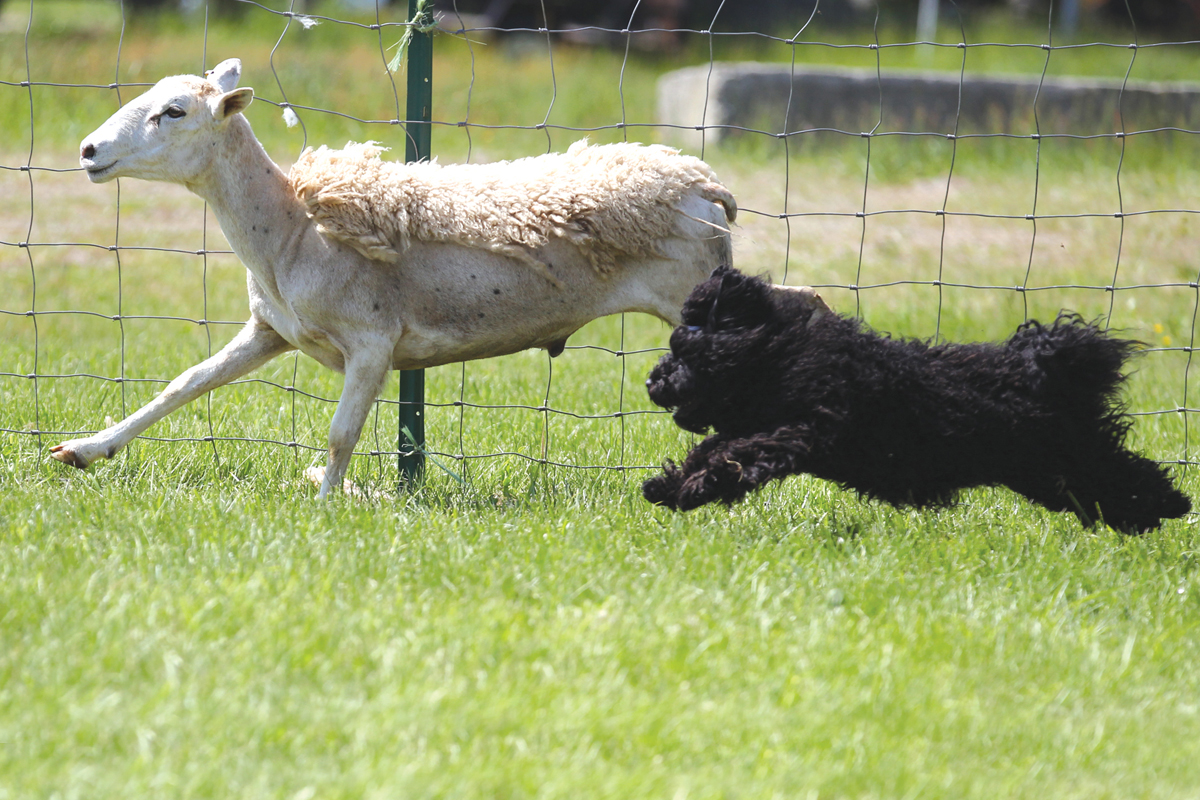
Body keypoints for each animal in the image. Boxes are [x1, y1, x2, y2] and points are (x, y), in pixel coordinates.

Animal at [52, 58, 829, 497]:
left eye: (174, 111)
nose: (88, 150)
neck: (291, 227)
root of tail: (704, 182)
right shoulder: (271, 329)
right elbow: (183, 385)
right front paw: (86, 451)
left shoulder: (371, 341)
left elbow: (340, 433)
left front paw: (327, 502)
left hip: (693, 293)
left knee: (801, 313)